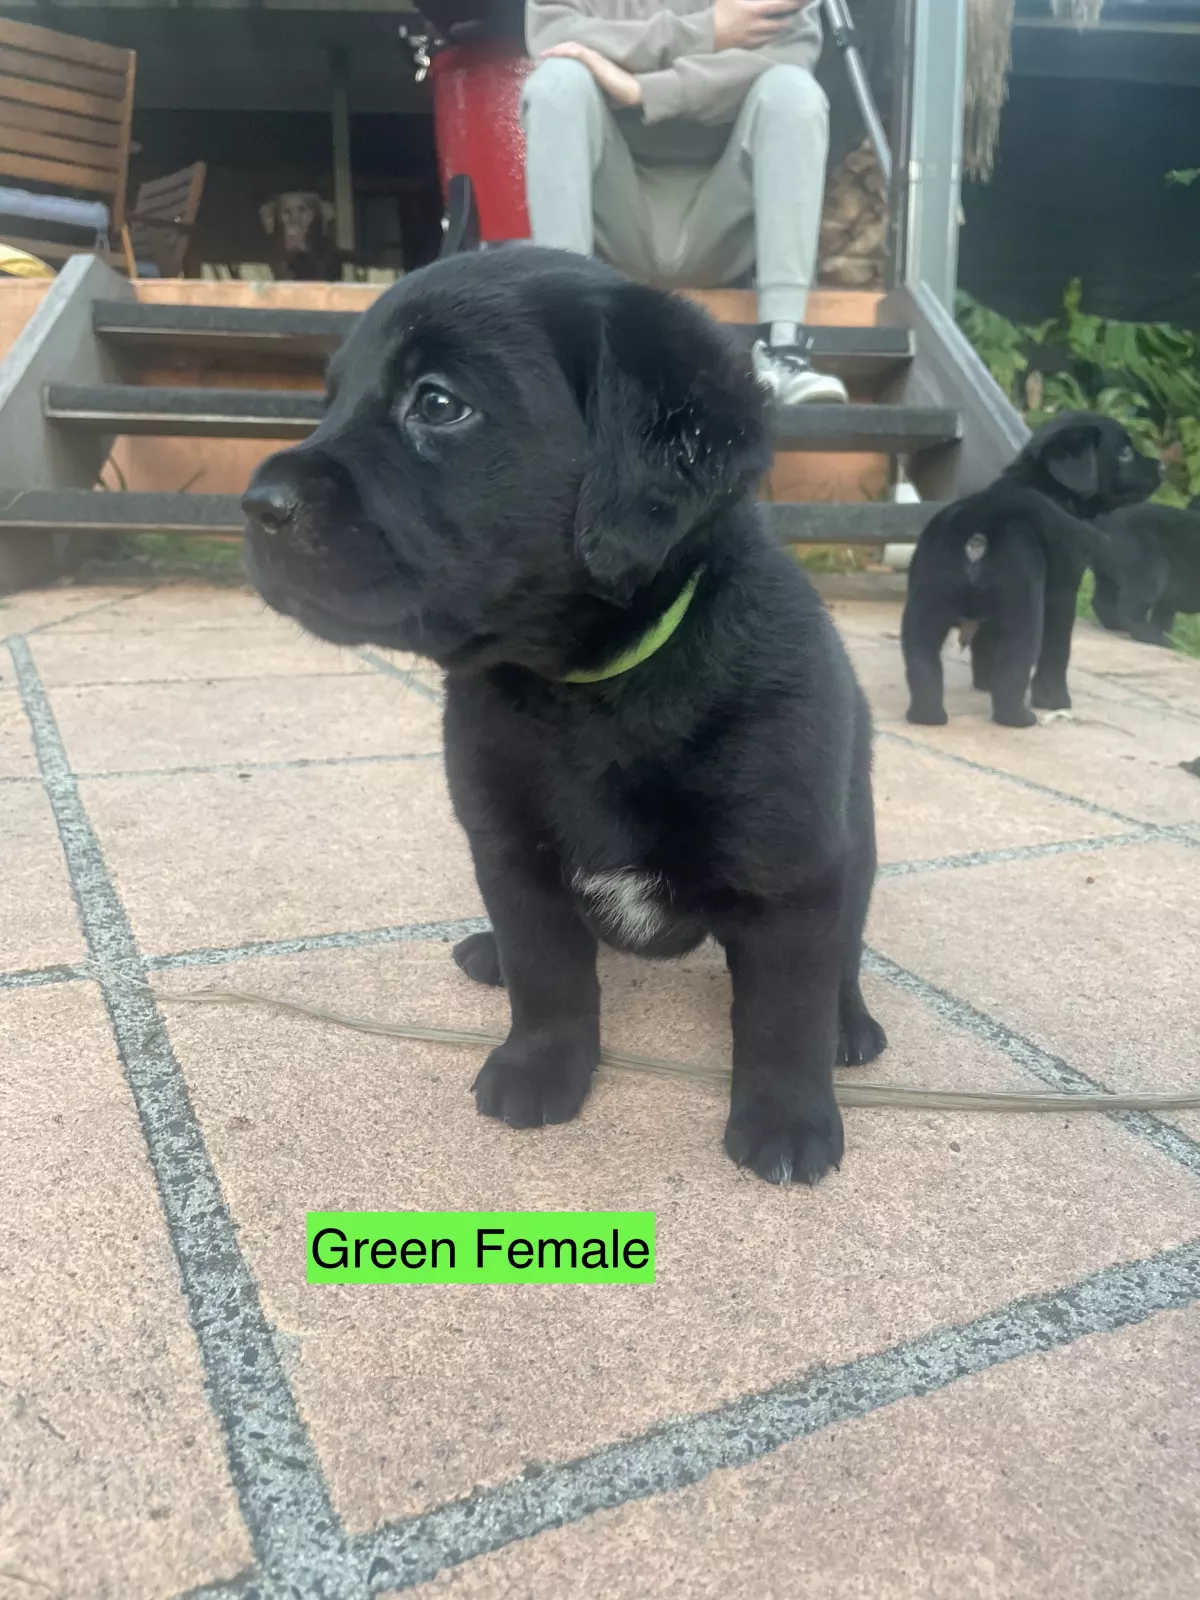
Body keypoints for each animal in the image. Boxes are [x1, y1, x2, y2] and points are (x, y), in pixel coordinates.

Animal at [241, 246, 887, 1188]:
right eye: (330, 399)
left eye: (439, 403)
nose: (256, 504)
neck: (590, 696)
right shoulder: (508, 849)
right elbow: (547, 972)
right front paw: (539, 1064)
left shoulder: (790, 873)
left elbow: (783, 1012)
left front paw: (787, 1118)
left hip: (855, 846)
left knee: (844, 950)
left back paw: (851, 1022)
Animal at [902, 412, 1161, 728]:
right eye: (1124, 452)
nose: (1160, 465)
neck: (1043, 486)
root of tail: (977, 531)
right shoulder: (1062, 595)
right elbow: (1056, 652)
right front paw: (1054, 700)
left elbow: (986, 649)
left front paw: (984, 683)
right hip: (1023, 615)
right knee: (1015, 667)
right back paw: (1019, 718)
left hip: (924, 611)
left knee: (923, 666)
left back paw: (927, 716)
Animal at [1090, 496, 1200, 648]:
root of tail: (1104, 522)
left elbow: (1165, 609)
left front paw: (1165, 627)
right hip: (1146, 553)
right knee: (1140, 594)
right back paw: (1157, 637)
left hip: (1106, 566)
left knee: (1106, 594)